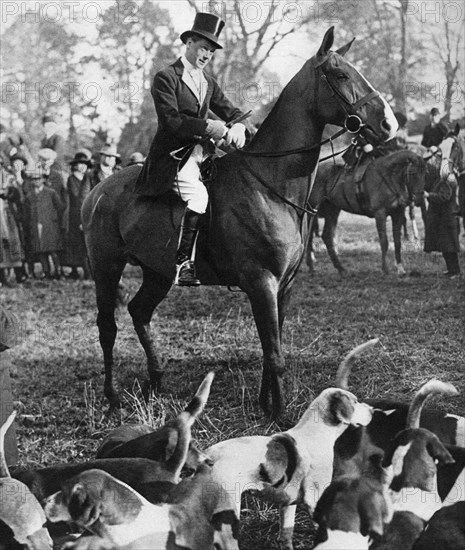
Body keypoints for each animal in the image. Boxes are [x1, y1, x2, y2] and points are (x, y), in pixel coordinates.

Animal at [80, 28, 396, 418]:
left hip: (158, 272)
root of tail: (97, 191)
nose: (389, 124)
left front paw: (266, 404)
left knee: (139, 312)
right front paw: (279, 415)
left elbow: (271, 345)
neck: (269, 183)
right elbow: (274, 354)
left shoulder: (283, 287)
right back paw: (112, 397)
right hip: (106, 267)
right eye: (340, 75)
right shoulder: (261, 283)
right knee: (107, 327)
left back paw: (155, 383)